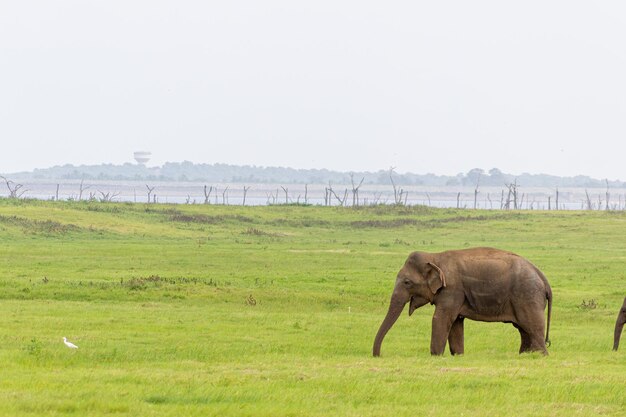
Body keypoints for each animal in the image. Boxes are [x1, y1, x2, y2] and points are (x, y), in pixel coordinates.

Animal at [370, 245, 552, 356]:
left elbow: (440, 318)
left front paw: (435, 356)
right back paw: (525, 355)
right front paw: (458, 355)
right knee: (523, 329)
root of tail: (542, 276)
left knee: (532, 327)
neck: (435, 257)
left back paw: (540, 356)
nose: (379, 355)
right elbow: (456, 323)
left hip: (528, 296)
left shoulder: (452, 289)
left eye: (407, 282)